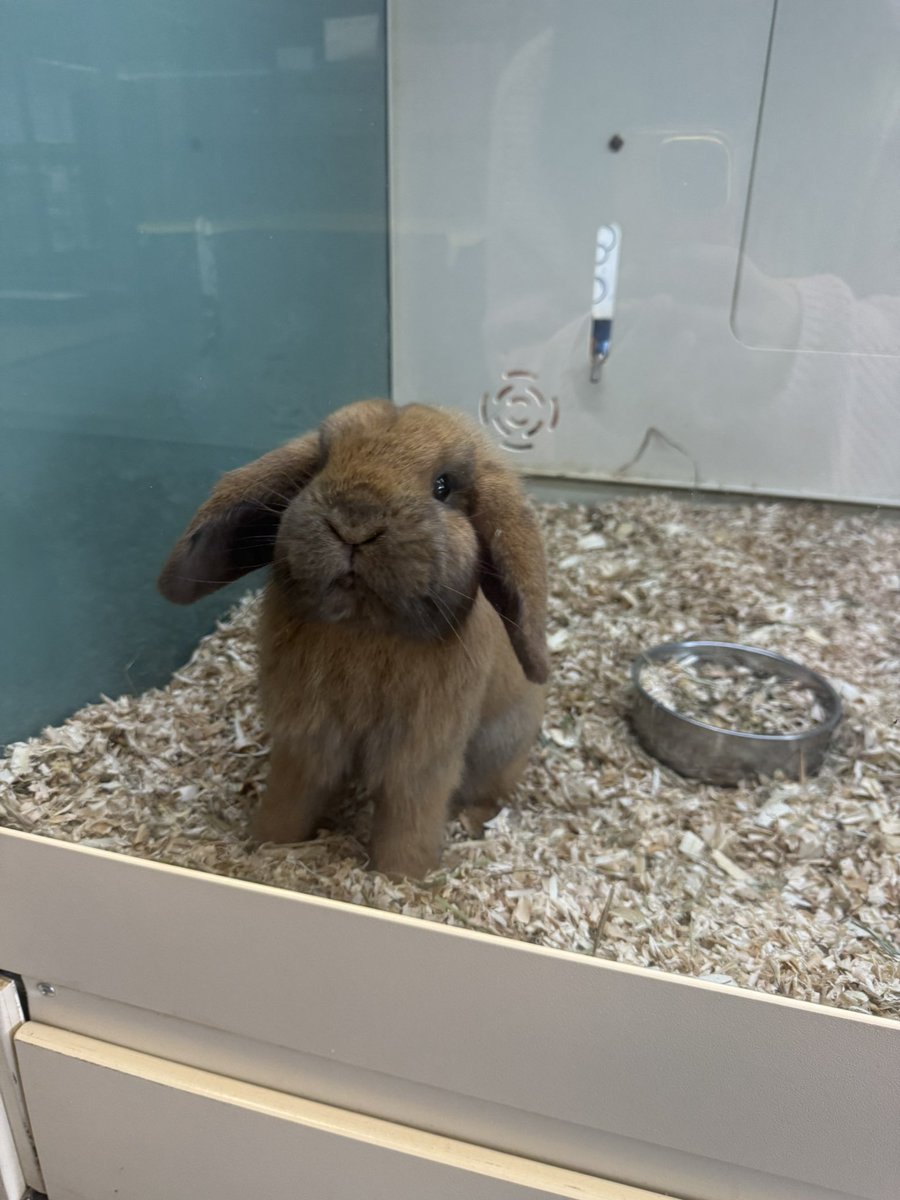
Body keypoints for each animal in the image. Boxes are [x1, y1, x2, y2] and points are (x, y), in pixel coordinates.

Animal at [158, 399, 548, 879]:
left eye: (443, 486)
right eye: (322, 464)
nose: (354, 521)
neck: (364, 629)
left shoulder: (419, 757)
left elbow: (409, 818)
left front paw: (403, 878)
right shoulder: (305, 740)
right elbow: (291, 796)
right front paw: (266, 843)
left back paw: (474, 823)